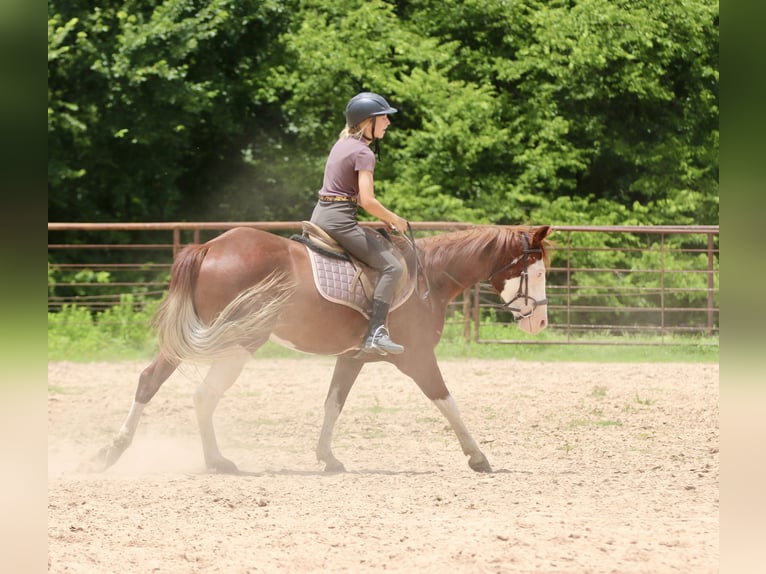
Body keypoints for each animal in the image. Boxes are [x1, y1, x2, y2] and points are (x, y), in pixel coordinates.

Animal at [91, 224, 552, 474]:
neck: (431, 278)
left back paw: (113, 451)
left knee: (151, 381)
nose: (541, 322)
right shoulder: (416, 357)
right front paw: (478, 457)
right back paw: (215, 461)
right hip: (237, 341)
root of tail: (210, 247)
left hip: (201, 336)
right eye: (538, 270)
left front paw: (327, 458)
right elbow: (447, 401)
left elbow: (333, 404)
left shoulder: (352, 357)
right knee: (203, 395)